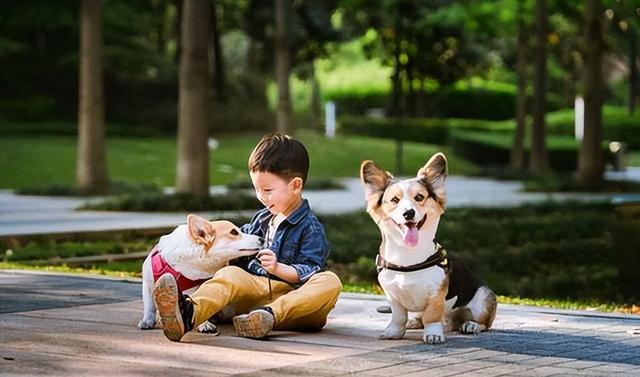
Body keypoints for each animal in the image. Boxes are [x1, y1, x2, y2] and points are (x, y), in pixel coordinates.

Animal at [360, 151, 496, 342]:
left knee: (483, 323)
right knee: (424, 319)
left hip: (483, 299)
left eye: (419, 197)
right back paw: (415, 323)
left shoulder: (436, 296)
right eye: (394, 200)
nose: (408, 213)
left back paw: (470, 325)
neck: (408, 258)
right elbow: (398, 317)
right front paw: (393, 332)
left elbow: (432, 316)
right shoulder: (393, 297)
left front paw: (433, 335)